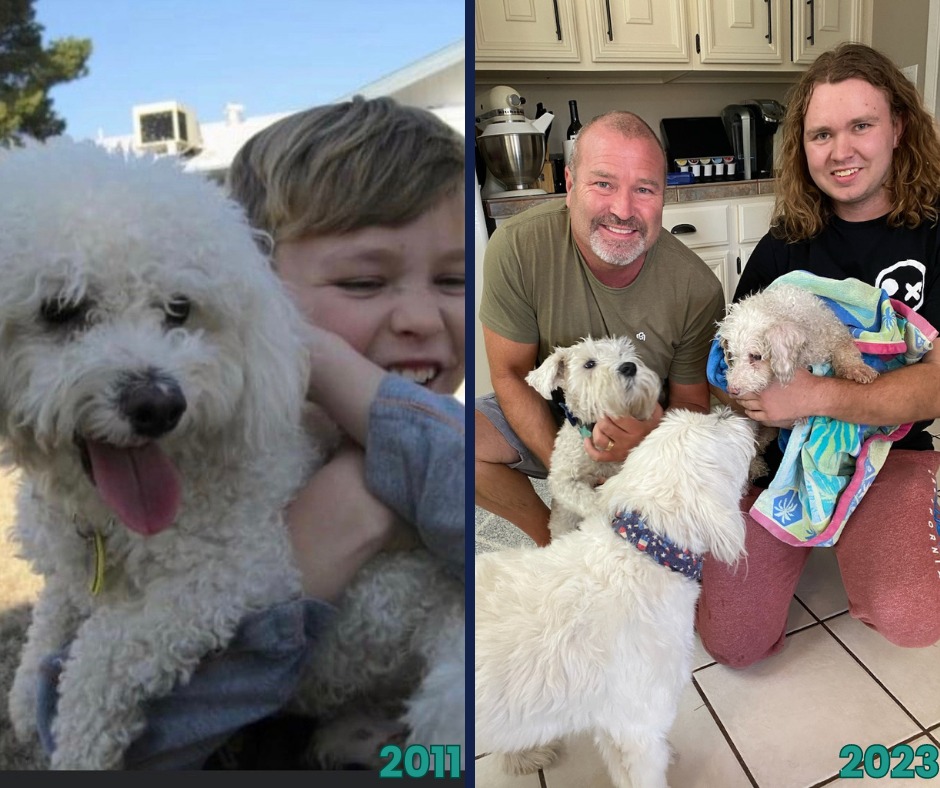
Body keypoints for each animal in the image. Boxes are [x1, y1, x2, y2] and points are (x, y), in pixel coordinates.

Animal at [1, 140, 464, 768]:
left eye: (178, 309)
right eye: (59, 310)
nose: (158, 404)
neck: (107, 520)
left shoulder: (239, 573)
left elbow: (105, 650)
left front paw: (79, 745)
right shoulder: (69, 556)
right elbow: (55, 608)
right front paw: (26, 692)